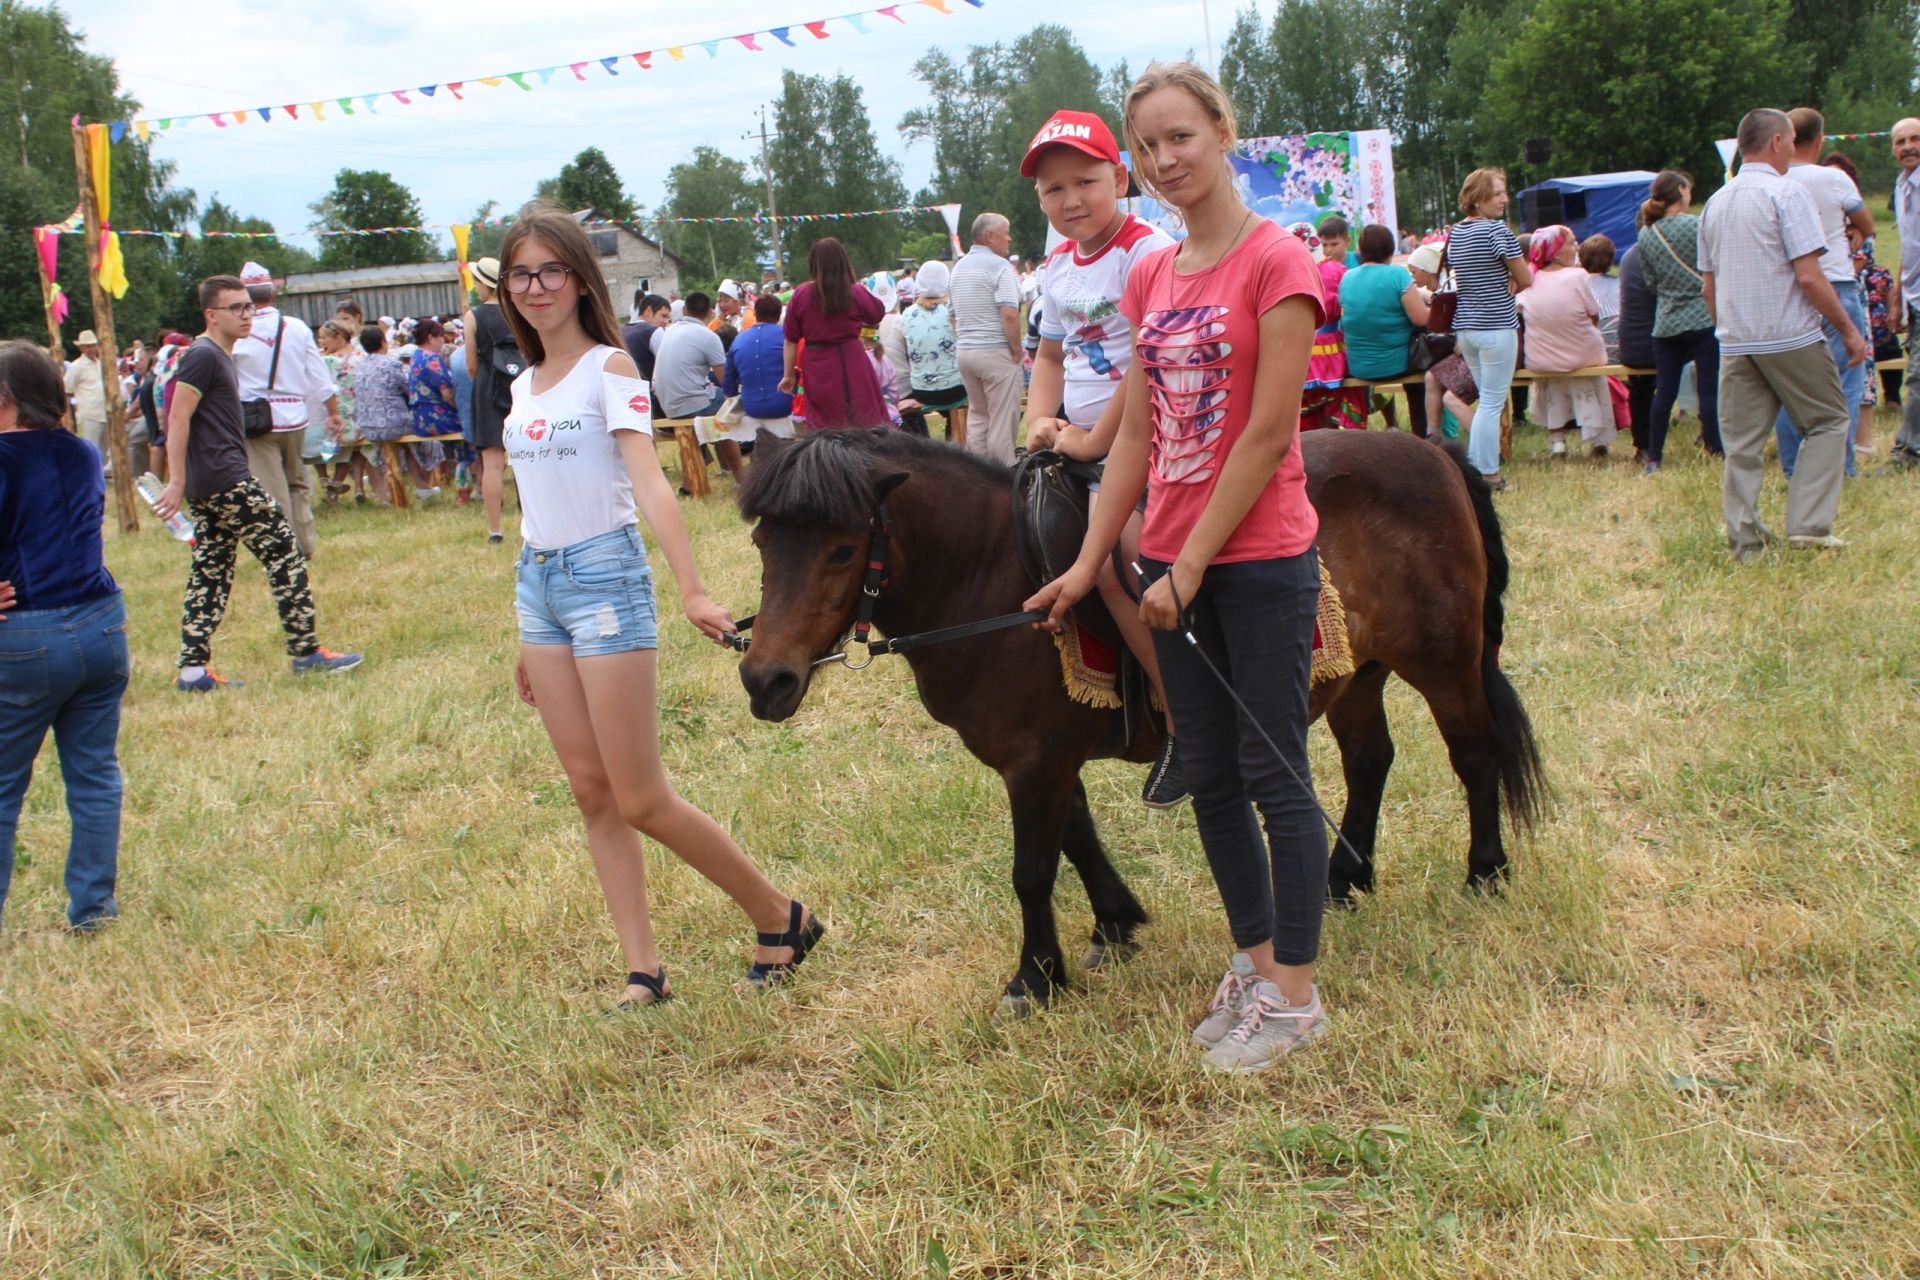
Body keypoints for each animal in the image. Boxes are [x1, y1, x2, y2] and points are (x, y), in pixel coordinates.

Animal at [733, 429, 1543, 1013]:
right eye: (763, 542)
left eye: (842, 549)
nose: (765, 678)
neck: (991, 579)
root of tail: (1432, 450)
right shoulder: (1046, 757)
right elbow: (1078, 838)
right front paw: (1115, 924)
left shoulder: (1035, 761)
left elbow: (1033, 869)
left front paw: (1036, 977)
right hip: (1356, 675)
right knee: (1370, 761)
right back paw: (1344, 879)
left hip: (1444, 663)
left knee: (1474, 755)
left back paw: (1484, 872)